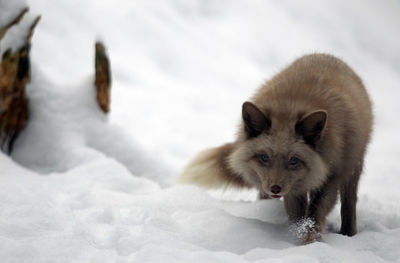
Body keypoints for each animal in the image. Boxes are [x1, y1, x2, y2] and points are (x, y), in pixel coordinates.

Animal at [178, 53, 372, 243]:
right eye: (264, 157)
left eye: (293, 160)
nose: (275, 189)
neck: (292, 106)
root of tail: (325, 55)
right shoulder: (294, 190)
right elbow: (297, 215)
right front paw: (299, 238)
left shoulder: (332, 174)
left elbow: (316, 211)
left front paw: (310, 238)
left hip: (353, 169)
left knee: (349, 204)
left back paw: (348, 234)